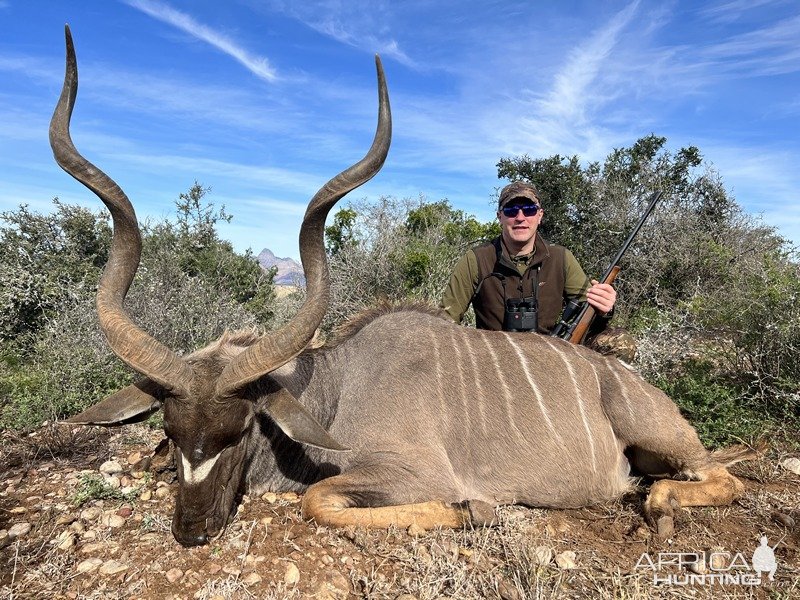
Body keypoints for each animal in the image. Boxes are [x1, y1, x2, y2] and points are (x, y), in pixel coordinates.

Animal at [53, 25, 752, 548]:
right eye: (173, 433)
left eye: (241, 428)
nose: (192, 530)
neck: (337, 390)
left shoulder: (414, 471)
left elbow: (319, 500)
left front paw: (473, 510)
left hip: (661, 436)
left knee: (723, 477)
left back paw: (660, 503)